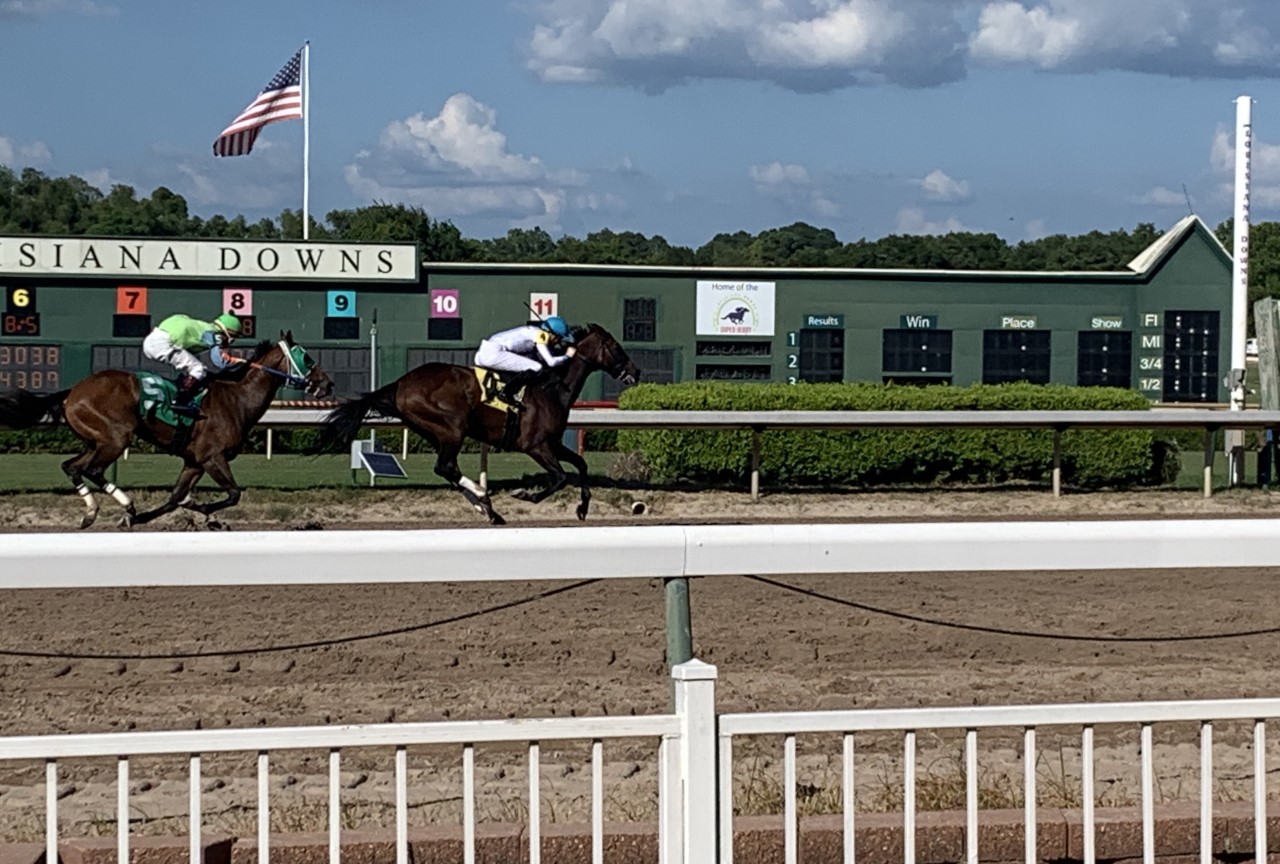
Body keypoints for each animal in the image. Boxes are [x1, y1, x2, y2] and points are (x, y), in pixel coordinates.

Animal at [0, 330, 335, 529]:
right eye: (307, 356)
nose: (328, 383)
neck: (237, 398)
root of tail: (72, 391)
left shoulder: (194, 461)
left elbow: (175, 498)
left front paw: (184, 511)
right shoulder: (213, 457)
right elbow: (233, 494)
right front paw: (208, 512)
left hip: (95, 441)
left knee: (71, 467)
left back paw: (91, 512)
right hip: (115, 437)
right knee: (92, 470)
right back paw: (127, 505)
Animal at [314, 325, 634, 524]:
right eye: (615, 346)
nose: (636, 370)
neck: (552, 388)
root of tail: (400, 384)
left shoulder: (552, 443)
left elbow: (581, 464)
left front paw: (583, 508)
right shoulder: (536, 445)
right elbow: (559, 477)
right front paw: (526, 495)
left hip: (436, 432)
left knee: (449, 470)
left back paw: (488, 508)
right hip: (452, 427)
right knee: (445, 467)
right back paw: (483, 497)